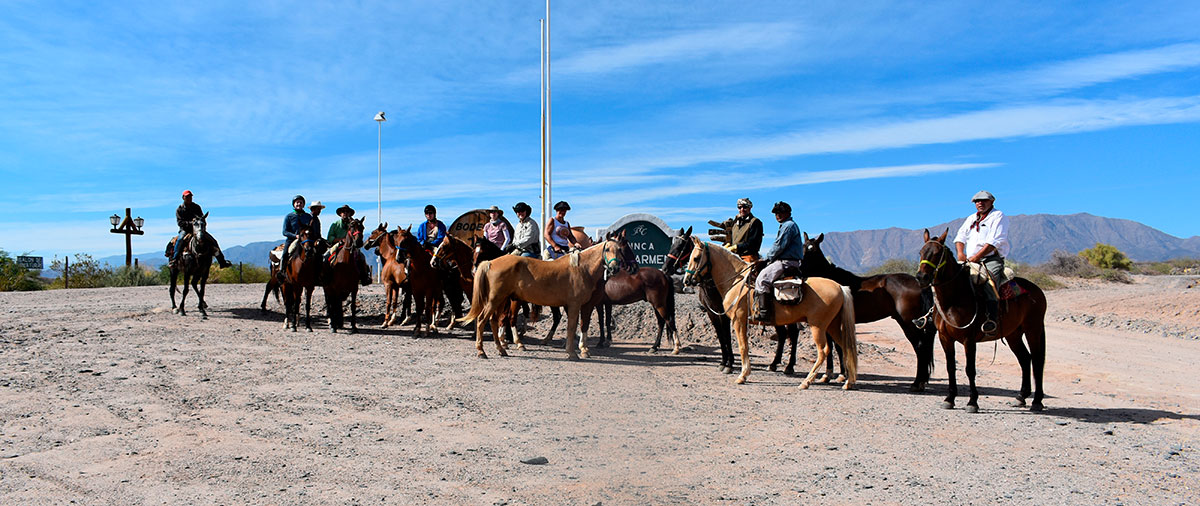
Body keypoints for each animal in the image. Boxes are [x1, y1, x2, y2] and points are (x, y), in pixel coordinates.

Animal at [456, 233, 638, 359]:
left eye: (620, 250)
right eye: (607, 249)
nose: (614, 268)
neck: (582, 269)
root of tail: (490, 262)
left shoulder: (584, 305)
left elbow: (581, 326)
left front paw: (581, 350)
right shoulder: (574, 305)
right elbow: (572, 327)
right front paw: (573, 353)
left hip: (502, 300)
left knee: (494, 321)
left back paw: (501, 349)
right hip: (495, 300)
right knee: (482, 320)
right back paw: (482, 351)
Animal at [681, 237, 859, 388]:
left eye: (696, 258)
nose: (686, 281)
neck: (736, 280)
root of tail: (840, 287)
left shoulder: (738, 320)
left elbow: (742, 346)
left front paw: (742, 375)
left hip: (818, 327)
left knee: (823, 351)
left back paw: (807, 381)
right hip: (832, 326)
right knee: (845, 347)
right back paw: (848, 382)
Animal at [801, 233, 940, 390]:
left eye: (813, 250)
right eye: (804, 247)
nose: (800, 268)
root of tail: (919, 282)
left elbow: (833, 347)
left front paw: (832, 375)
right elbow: (837, 347)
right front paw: (839, 375)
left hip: (908, 323)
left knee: (920, 347)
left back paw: (917, 383)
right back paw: (921, 381)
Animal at [916, 229, 1051, 410]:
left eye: (937, 254)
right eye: (921, 252)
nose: (921, 277)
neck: (954, 299)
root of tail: (1037, 290)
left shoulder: (969, 339)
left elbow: (970, 369)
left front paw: (973, 402)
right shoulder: (945, 338)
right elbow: (950, 367)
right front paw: (949, 398)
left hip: (1033, 329)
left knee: (1037, 360)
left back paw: (1037, 401)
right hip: (1014, 334)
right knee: (1025, 358)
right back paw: (1021, 396)